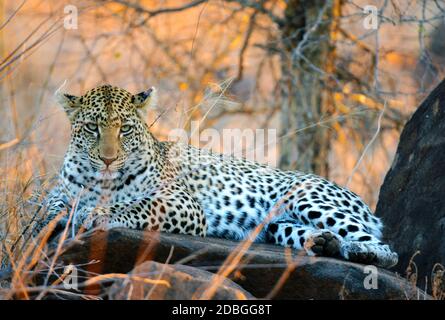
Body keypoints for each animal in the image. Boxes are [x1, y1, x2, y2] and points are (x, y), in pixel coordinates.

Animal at [38, 84, 398, 268]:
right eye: (91, 128)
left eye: (125, 129)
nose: (108, 159)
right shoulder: (60, 192)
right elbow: (48, 206)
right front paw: (61, 217)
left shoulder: (182, 203)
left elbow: (134, 205)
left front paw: (95, 213)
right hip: (279, 226)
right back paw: (324, 244)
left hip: (309, 198)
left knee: (387, 249)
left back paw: (362, 252)